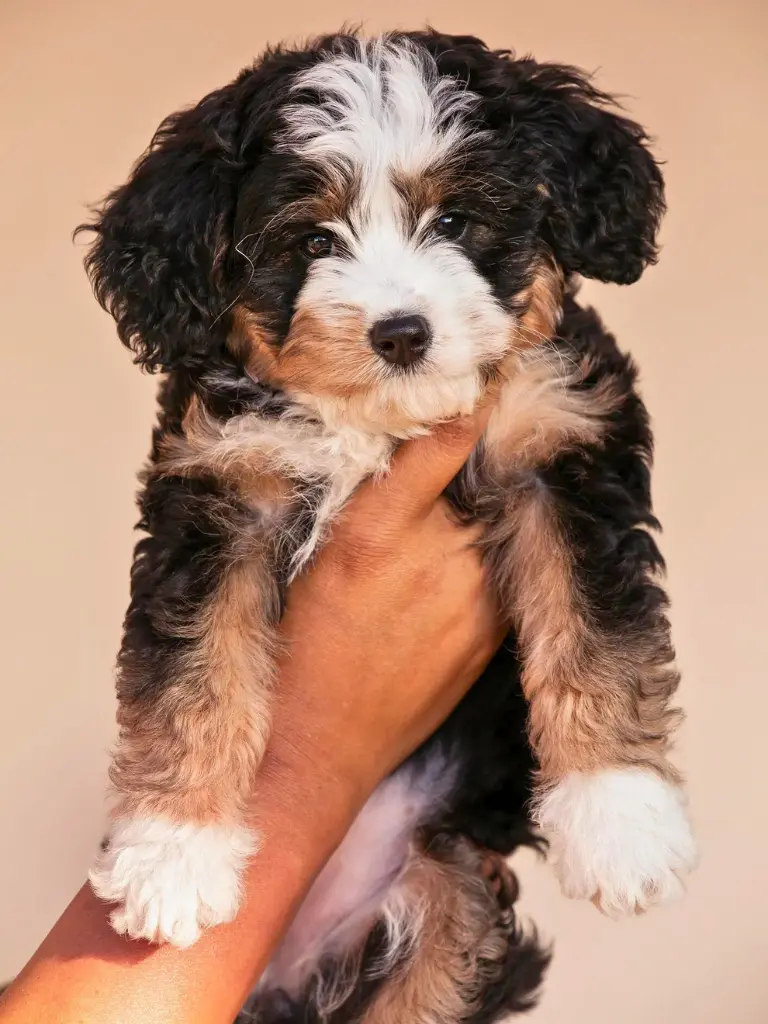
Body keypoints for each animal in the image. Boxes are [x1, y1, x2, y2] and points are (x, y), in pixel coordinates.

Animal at [79, 28, 696, 1019]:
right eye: (312, 239)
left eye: (454, 223)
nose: (401, 332)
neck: (380, 426)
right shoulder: (221, 490)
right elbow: (195, 671)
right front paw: (172, 853)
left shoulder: (559, 441)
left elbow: (595, 628)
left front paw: (619, 821)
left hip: (448, 914)